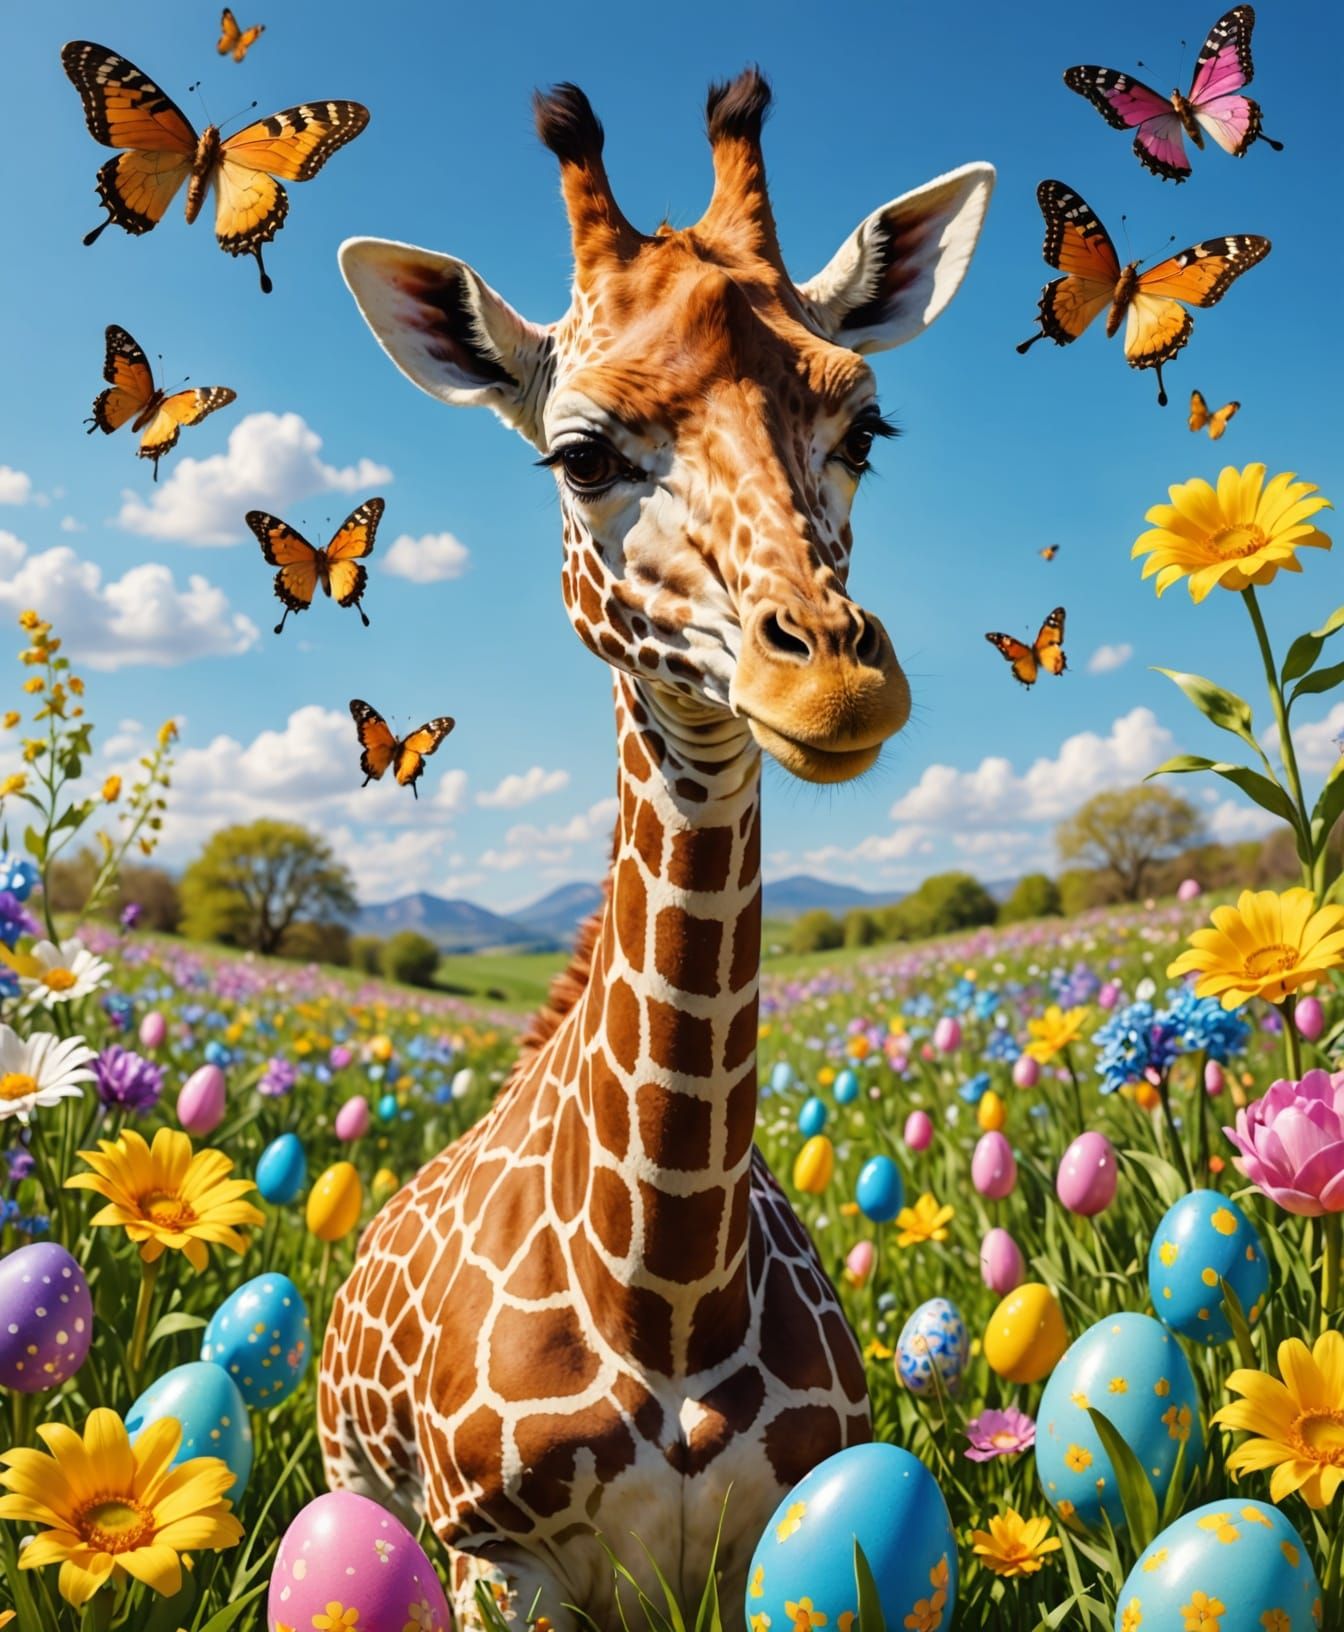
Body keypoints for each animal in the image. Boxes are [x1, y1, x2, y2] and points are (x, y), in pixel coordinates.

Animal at [320, 68, 992, 1630]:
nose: (834, 684)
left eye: (866, 429)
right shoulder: (490, 1560)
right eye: (577, 455)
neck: (669, 1284)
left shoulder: (783, 1544)